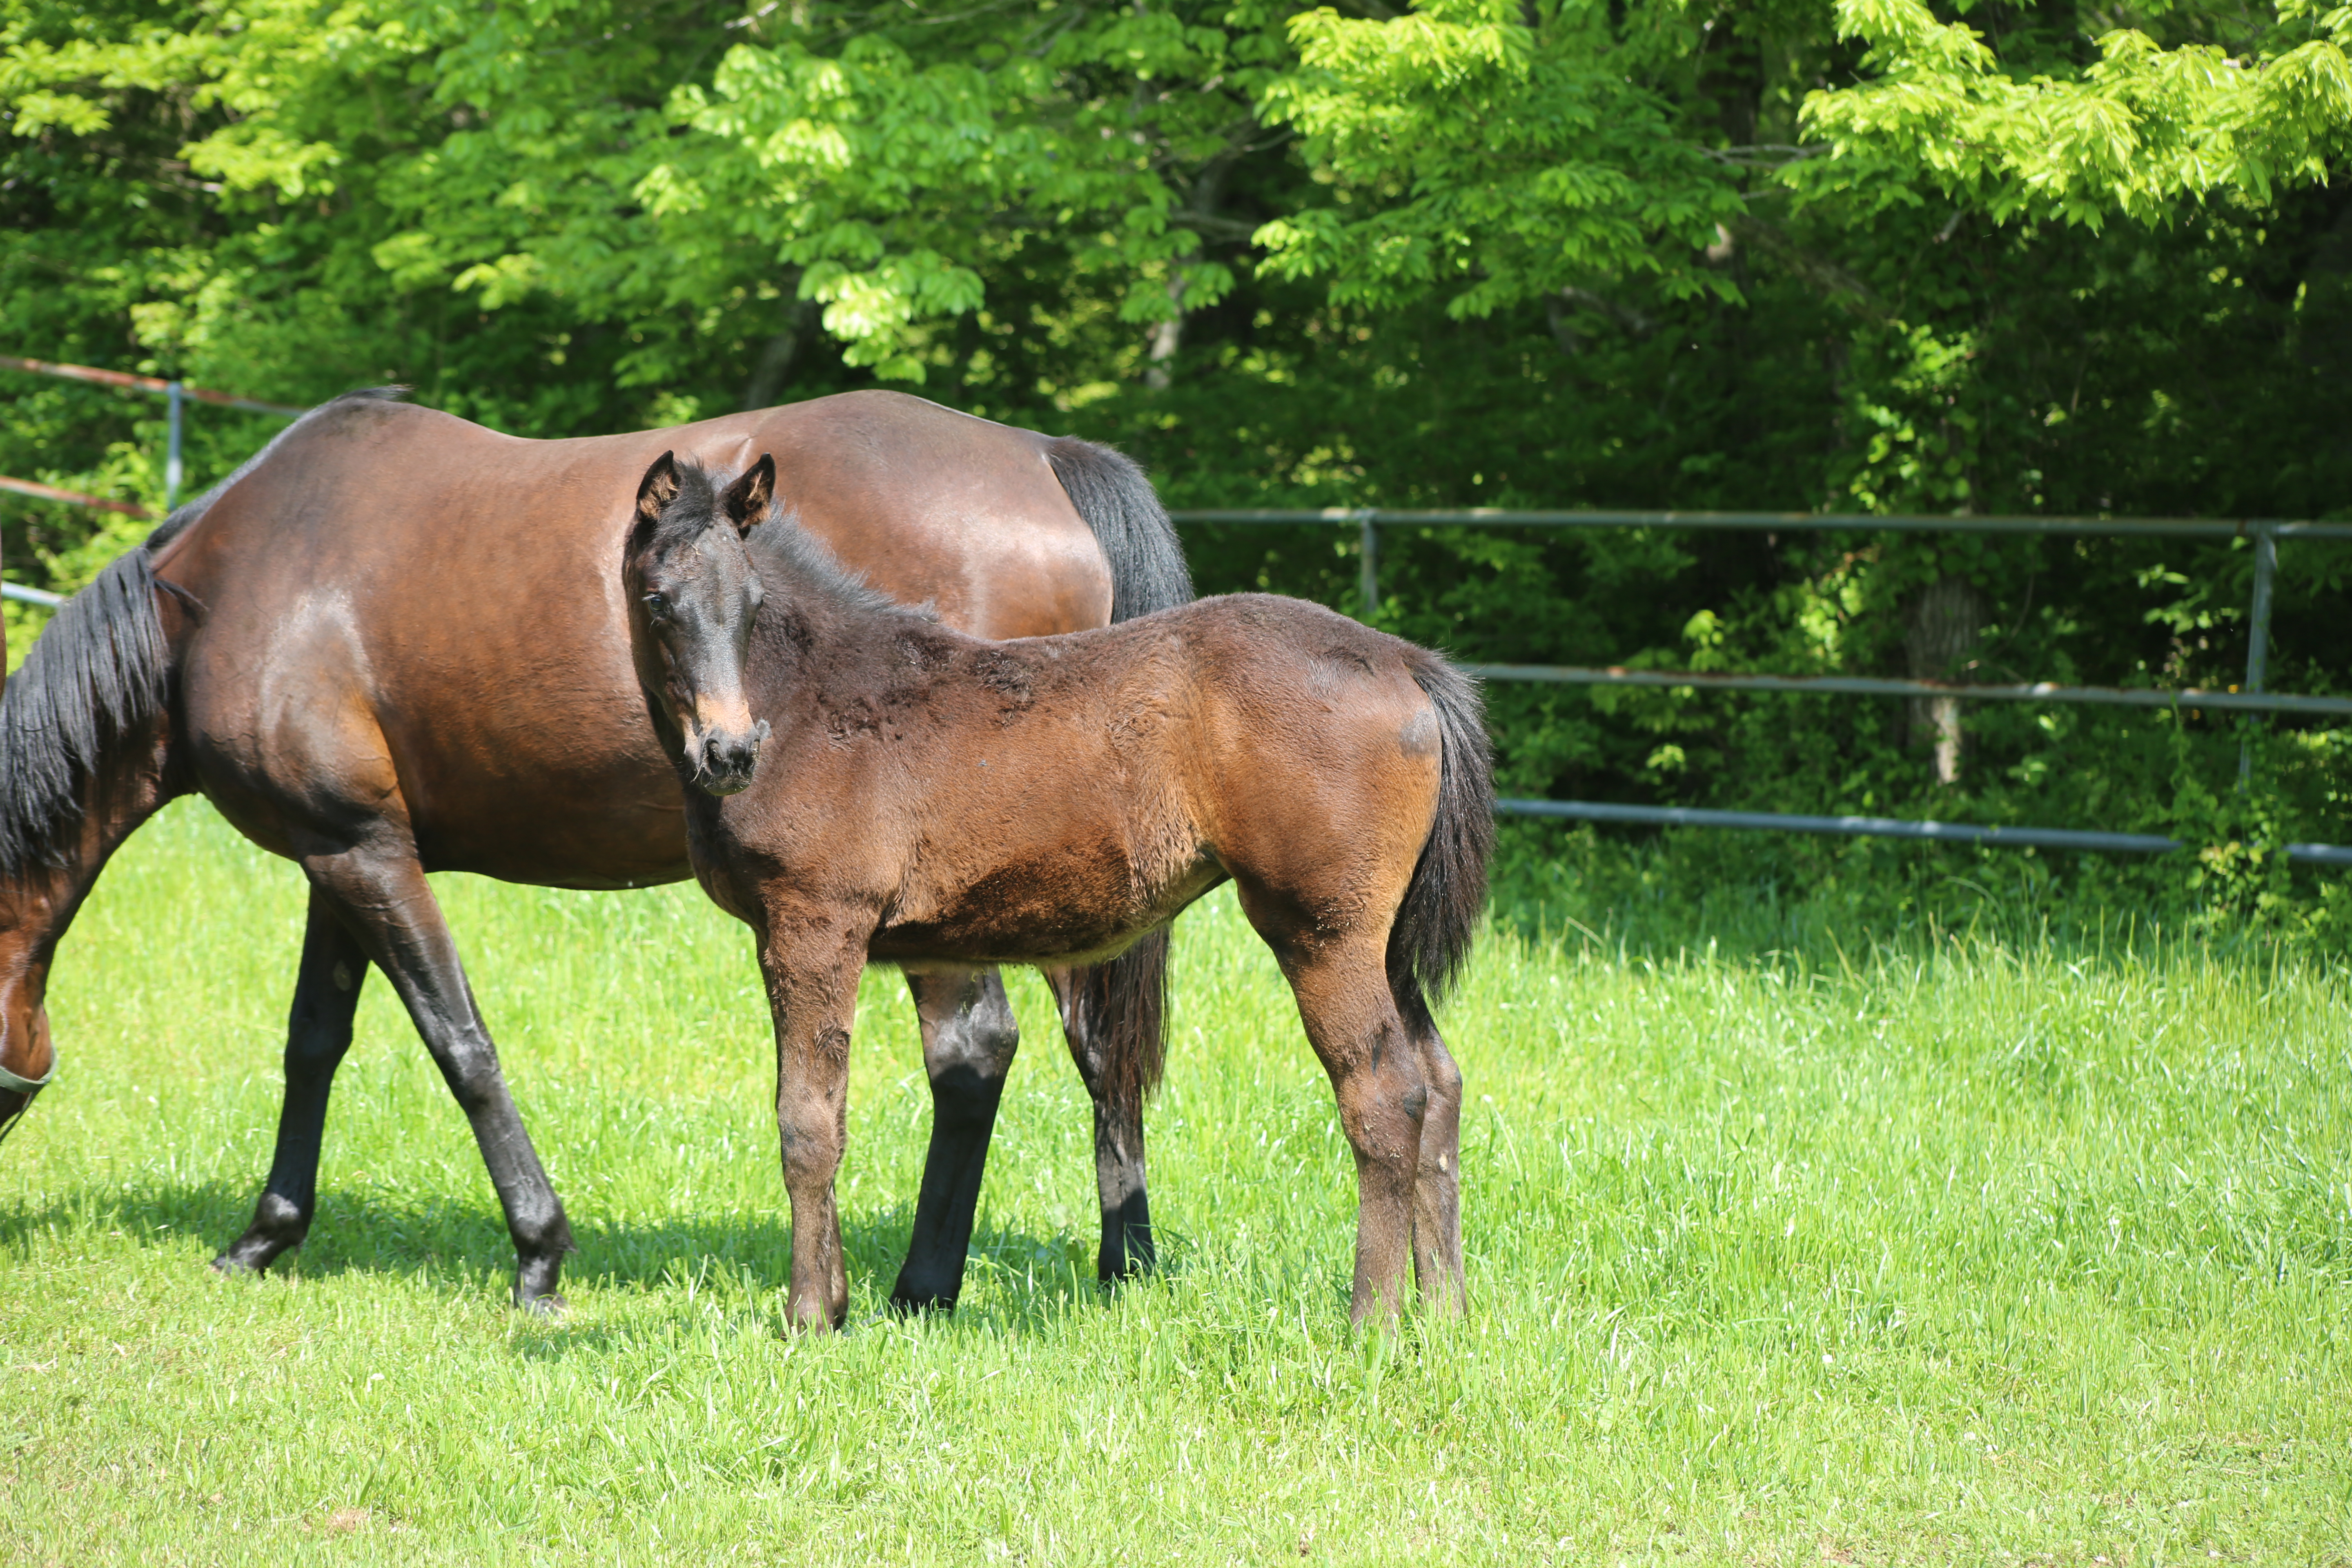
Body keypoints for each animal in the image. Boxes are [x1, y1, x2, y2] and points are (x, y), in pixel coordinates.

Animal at [626, 454, 1486, 1326]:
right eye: (657, 599)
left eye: (754, 603)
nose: (731, 752)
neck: (809, 699)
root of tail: (1405, 664)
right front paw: (834, 1303)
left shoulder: (814, 929)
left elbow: (808, 1123)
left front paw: (810, 1316)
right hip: (1382, 944)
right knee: (1441, 1084)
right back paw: (1445, 1313)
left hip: (1321, 932)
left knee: (1385, 1094)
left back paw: (1373, 1321)